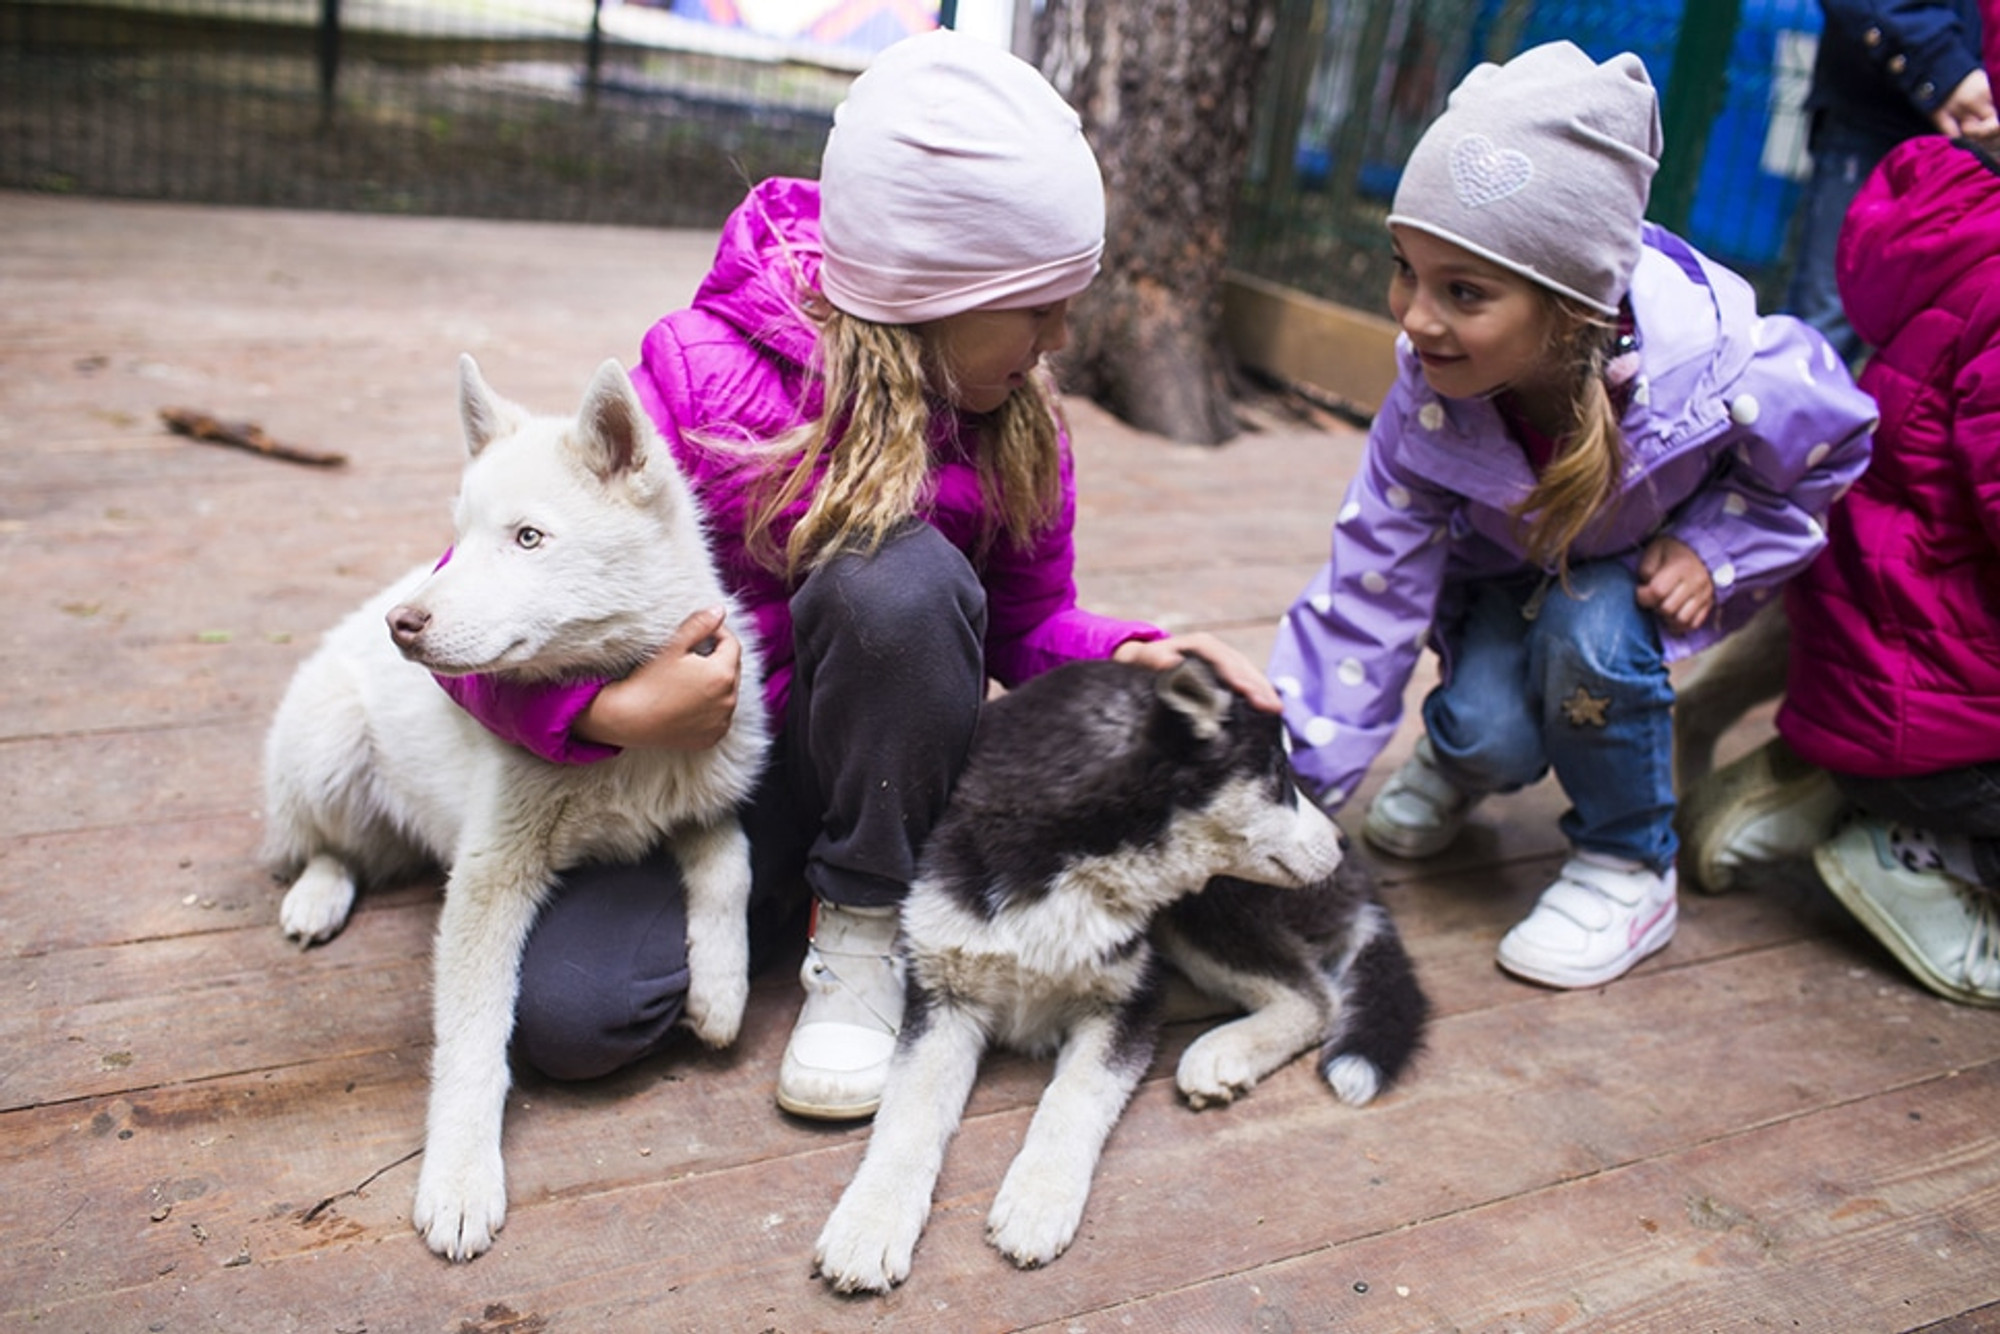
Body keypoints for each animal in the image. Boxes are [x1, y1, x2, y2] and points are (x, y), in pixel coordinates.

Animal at [262, 354, 768, 1264]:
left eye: (528, 537)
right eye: (458, 537)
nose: (403, 624)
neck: (622, 734)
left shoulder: (707, 791)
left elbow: (730, 860)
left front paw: (720, 989)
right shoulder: (488, 880)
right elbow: (471, 1042)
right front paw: (461, 1180)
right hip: (328, 746)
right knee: (325, 845)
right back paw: (317, 892)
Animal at [808, 656, 1424, 1296]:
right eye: (1278, 777)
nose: (1341, 842)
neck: (1067, 874)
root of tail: (1360, 884)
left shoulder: (1128, 1002)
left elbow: (1072, 1096)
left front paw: (1038, 1199)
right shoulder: (942, 992)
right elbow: (910, 1112)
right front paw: (870, 1222)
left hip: (1204, 906)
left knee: (1315, 994)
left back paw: (1222, 1051)